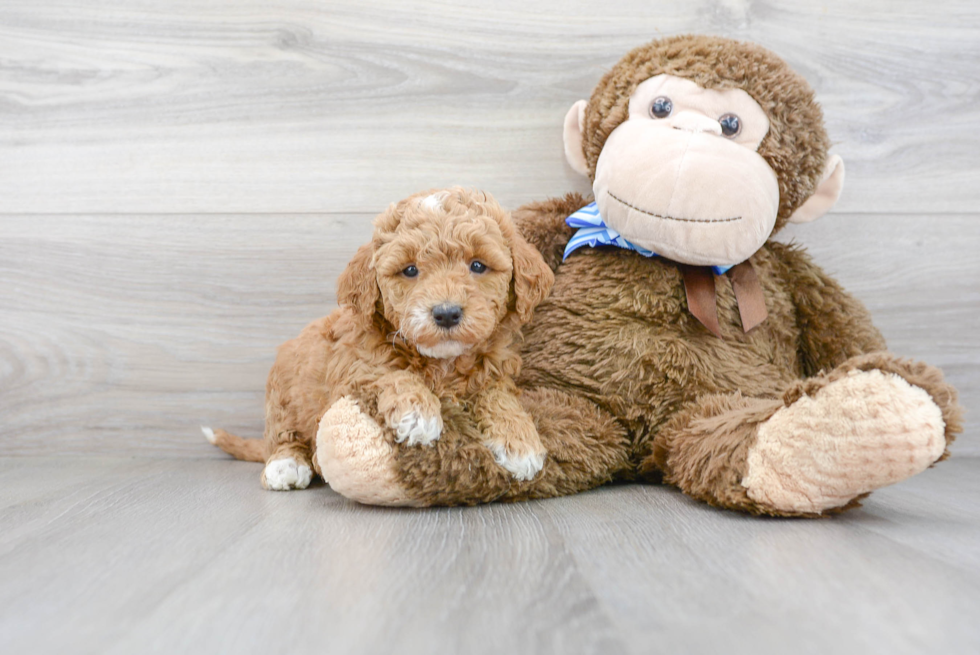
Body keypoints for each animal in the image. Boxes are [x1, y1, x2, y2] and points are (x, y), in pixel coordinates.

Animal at [207, 187, 556, 490]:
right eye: (410, 270)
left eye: (478, 265)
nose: (446, 313)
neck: (442, 363)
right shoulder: (352, 369)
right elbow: (388, 373)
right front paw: (417, 413)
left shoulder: (495, 370)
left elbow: (497, 394)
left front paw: (520, 441)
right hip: (283, 392)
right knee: (283, 435)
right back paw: (286, 465)